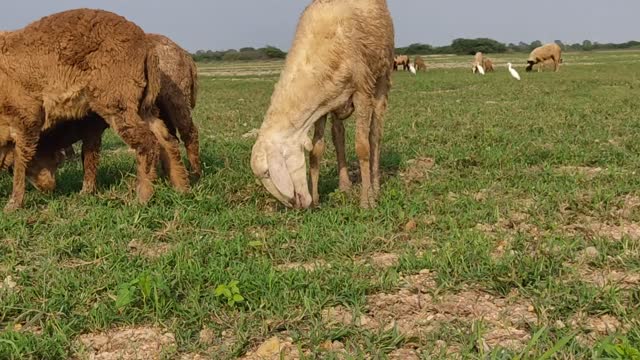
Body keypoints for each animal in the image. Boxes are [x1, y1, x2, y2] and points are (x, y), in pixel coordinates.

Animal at [0, 9, 180, 211]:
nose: (49, 189)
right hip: (141, 104)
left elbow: (21, 161)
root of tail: (146, 46)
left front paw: (12, 205)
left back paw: (143, 197)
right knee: (166, 138)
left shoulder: (26, 117)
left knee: (147, 142)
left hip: (117, 100)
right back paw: (182, 187)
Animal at [251, 0, 396, 210]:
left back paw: (375, 187)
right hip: (337, 101)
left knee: (375, 136)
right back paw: (344, 186)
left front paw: (366, 201)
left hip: (382, 77)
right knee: (338, 135)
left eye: (268, 172)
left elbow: (362, 148)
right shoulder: (321, 107)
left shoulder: (362, 91)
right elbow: (316, 151)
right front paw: (316, 199)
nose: (296, 206)